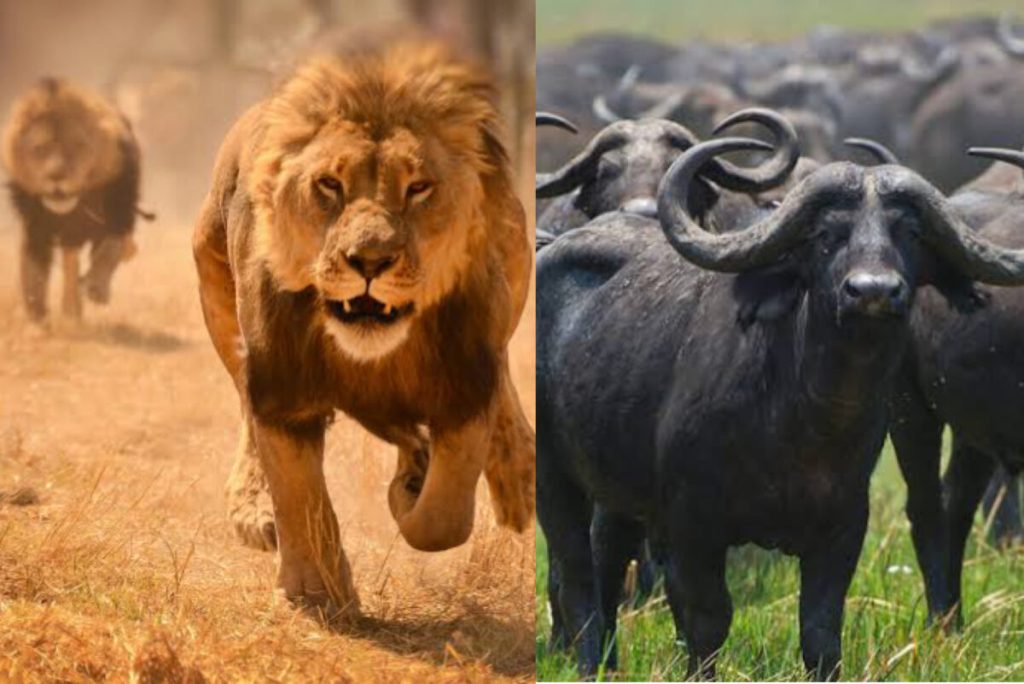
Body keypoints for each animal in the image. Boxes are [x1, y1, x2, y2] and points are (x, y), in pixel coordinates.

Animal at [2, 77, 146, 322]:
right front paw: (35, 309)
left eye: (77, 146)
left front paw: (97, 287)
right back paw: (71, 310)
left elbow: (110, 250)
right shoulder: (35, 227)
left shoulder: (119, 214)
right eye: (40, 149)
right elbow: (33, 266)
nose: (56, 176)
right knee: (70, 264)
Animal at [192, 38, 535, 616]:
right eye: (329, 185)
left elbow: (442, 517)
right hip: (214, 284)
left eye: (418, 188)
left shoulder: (467, 383)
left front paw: (411, 491)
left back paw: (514, 478)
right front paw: (316, 589)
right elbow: (299, 493)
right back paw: (255, 510)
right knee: (245, 409)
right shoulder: (281, 390)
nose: (369, 260)